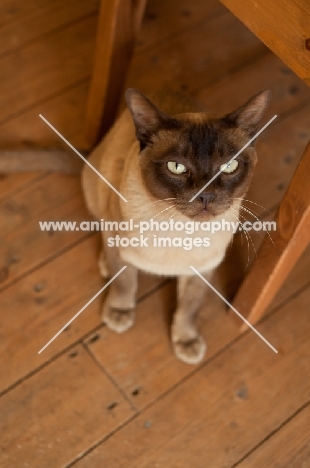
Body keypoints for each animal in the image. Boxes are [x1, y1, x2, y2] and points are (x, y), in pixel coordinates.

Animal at [81, 88, 270, 366]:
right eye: (177, 167)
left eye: (229, 166)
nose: (206, 196)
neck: (181, 232)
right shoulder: (120, 246)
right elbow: (125, 282)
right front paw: (119, 312)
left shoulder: (201, 270)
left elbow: (189, 308)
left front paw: (187, 343)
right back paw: (106, 266)